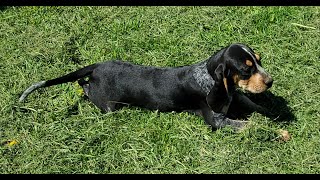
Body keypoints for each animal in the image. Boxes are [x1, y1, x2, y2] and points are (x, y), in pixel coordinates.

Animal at [18, 43, 272, 131]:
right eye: (246, 69)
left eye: (259, 60)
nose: (270, 81)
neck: (206, 75)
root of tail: (98, 66)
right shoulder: (216, 120)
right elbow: (247, 125)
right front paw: (272, 130)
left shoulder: (233, 95)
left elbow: (248, 101)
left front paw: (269, 113)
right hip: (108, 105)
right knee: (85, 87)